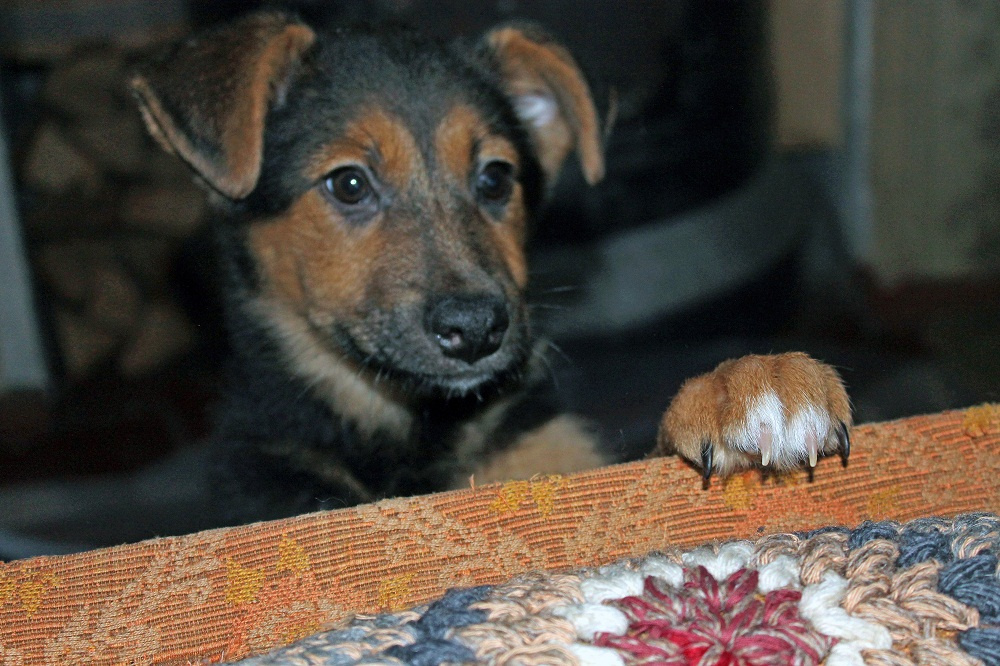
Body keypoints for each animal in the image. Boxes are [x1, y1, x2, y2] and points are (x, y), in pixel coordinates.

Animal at [130, 11, 852, 525]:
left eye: (497, 178)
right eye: (349, 185)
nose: (478, 329)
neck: (414, 433)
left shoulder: (554, 460)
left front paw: (746, 385)